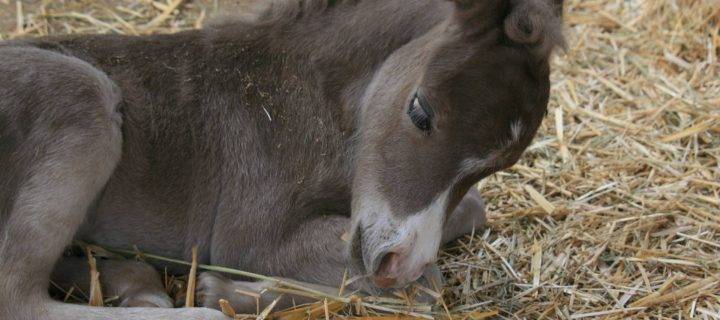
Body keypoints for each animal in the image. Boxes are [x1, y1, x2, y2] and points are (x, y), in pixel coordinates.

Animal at [0, 1, 564, 318]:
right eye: (420, 111)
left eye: (500, 165)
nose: (394, 265)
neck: (316, 91)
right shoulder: (252, 232)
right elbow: (427, 288)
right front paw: (222, 290)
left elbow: (472, 211)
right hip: (82, 97)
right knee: (17, 296)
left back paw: (134, 284)